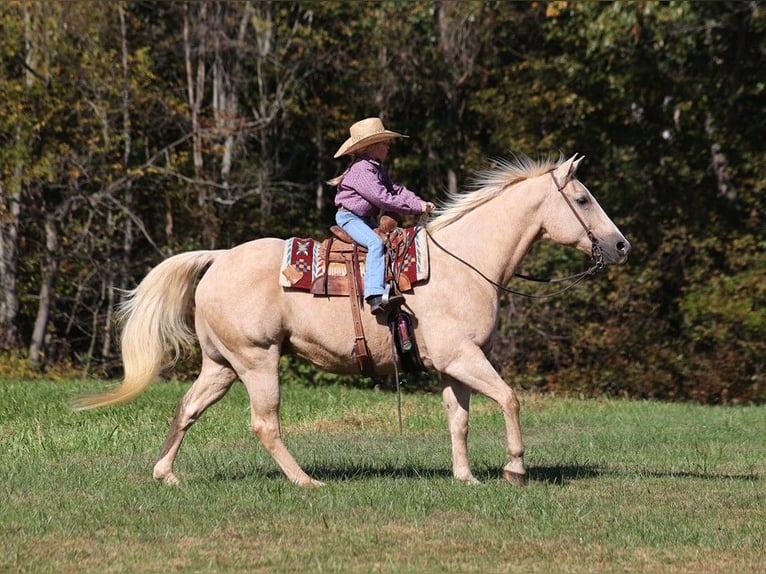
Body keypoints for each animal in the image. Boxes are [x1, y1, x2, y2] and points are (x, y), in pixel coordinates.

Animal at [75, 153, 630, 487]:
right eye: (582, 199)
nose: (621, 245)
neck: (466, 263)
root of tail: (218, 258)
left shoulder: (455, 366)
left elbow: (460, 418)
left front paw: (466, 477)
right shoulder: (463, 357)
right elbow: (510, 399)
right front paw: (515, 469)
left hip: (222, 365)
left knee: (188, 408)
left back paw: (165, 474)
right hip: (258, 361)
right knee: (264, 423)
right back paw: (305, 481)